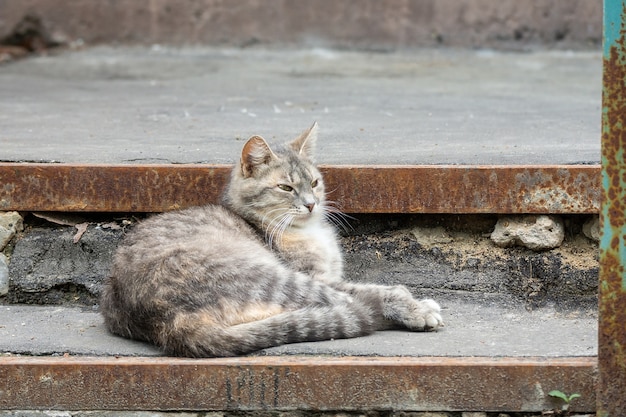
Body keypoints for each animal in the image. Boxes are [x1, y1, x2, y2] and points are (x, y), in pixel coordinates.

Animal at [100, 122, 442, 356]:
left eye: (314, 183)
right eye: (286, 188)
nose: (311, 204)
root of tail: (167, 322)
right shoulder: (316, 275)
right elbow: (381, 289)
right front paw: (417, 306)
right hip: (272, 276)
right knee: (351, 302)